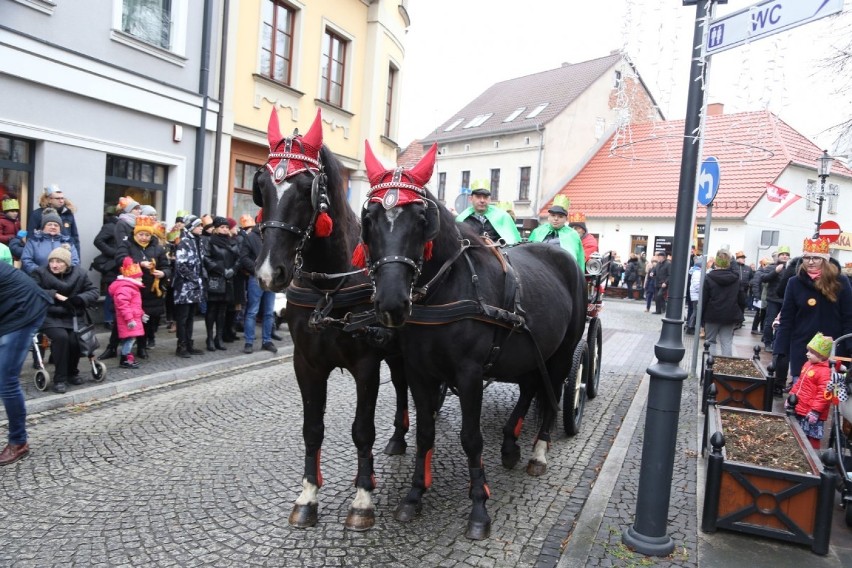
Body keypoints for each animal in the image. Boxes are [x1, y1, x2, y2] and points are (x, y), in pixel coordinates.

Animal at [253, 110, 410, 532]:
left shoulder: (367, 364)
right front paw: (307, 495)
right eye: (261, 187)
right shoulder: (306, 363)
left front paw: (363, 498)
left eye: (306, 188)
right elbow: (312, 428)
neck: (329, 287)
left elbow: (362, 430)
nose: (269, 273)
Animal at [356, 141, 588, 536]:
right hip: (528, 352)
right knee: (530, 388)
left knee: (553, 393)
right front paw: (414, 495)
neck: (446, 290)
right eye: (368, 219)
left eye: (421, 219)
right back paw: (510, 443)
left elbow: (471, 437)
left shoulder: (469, 375)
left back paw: (538, 451)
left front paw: (479, 506)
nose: (390, 303)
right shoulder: (419, 373)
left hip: (561, 351)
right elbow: (425, 432)